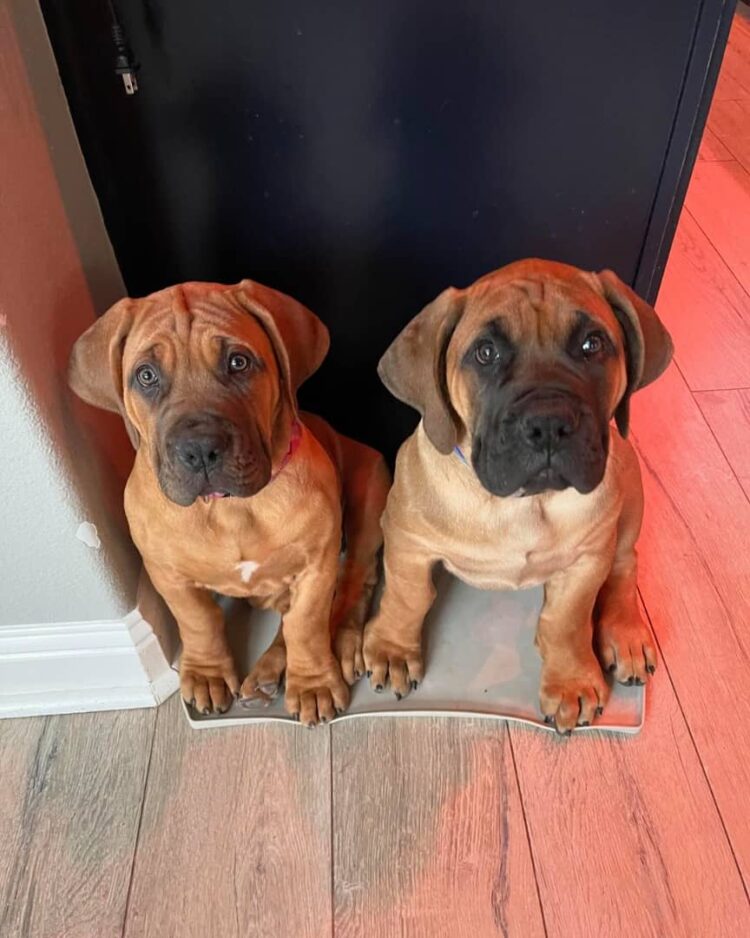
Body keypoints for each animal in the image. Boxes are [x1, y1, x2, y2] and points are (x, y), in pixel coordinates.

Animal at [69, 278, 394, 724]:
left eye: (238, 362)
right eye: (146, 376)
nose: (199, 449)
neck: (228, 509)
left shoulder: (314, 566)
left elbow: (306, 626)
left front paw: (313, 683)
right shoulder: (167, 573)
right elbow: (198, 621)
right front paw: (207, 673)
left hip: (369, 491)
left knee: (353, 580)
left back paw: (333, 648)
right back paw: (265, 675)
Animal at [366, 256, 676, 732]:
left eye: (592, 344)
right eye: (486, 353)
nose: (548, 423)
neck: (523, 504)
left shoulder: (586, 561)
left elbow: (565, 621)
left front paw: (570, 681)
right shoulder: (407, 540)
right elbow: (407, 595)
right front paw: (393, 649)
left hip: (629, 487)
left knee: (625, 564)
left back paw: (624, 633)